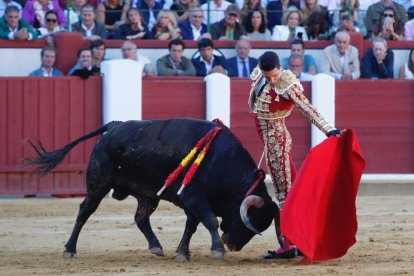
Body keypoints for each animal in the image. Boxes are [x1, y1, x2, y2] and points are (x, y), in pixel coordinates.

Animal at [27, 118, 284, 260]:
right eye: (250, 222)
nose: (233, 245)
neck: (222, 162)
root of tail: (114, 126)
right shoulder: (194, 197)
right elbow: (209, 220)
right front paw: (217, 250)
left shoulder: (191, 202)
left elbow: (191, 226)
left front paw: (182, 253)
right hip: (98, 184)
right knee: (84, 212)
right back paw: (69, 249)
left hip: (147, 194)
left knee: (141, 217)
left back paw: (156, 246)